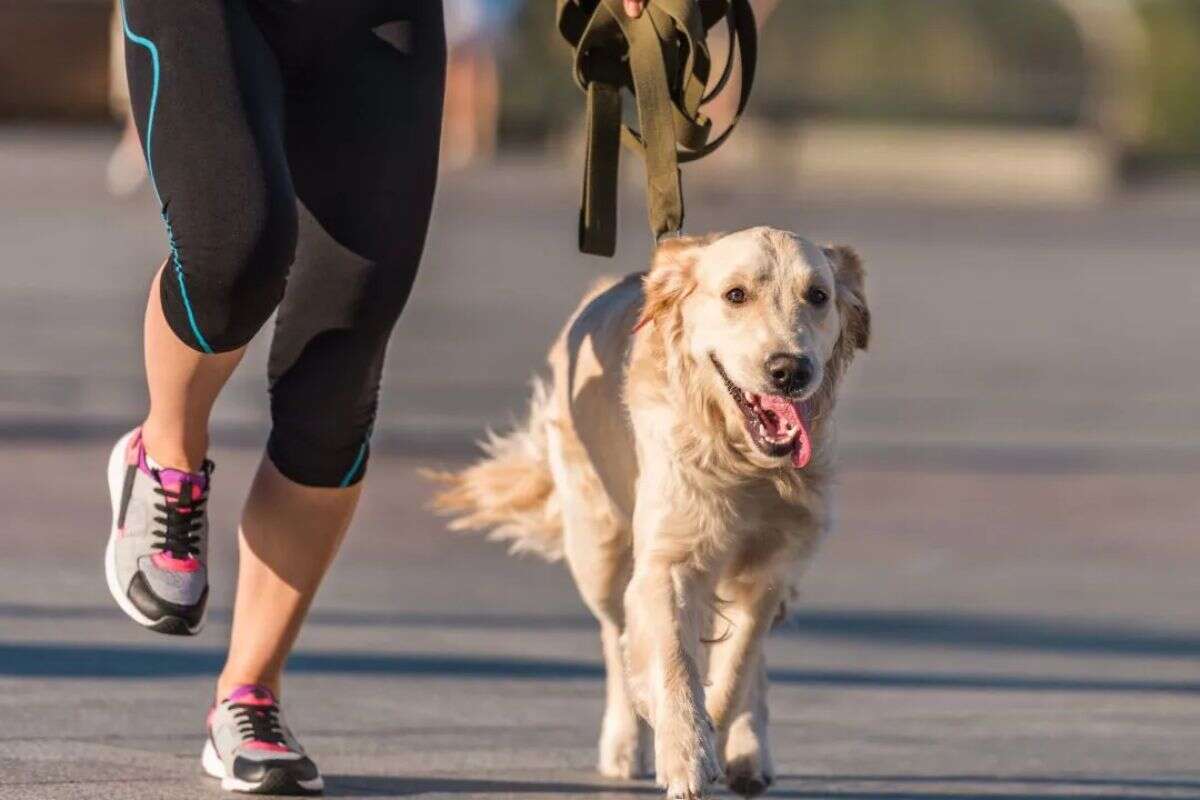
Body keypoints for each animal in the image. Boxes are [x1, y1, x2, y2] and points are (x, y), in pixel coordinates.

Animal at [432, 227, 873, 796]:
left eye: (817, 295)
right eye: (735, 295)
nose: (790, 369)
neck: (744, 463)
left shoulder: (771, 570)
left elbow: (735, 670)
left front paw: (717, 736)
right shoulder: (668, 561)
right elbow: (671, 660)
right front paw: (683, 752)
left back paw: (749, 751)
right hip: (598, 551)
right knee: (615, 637)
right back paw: (626, 743)